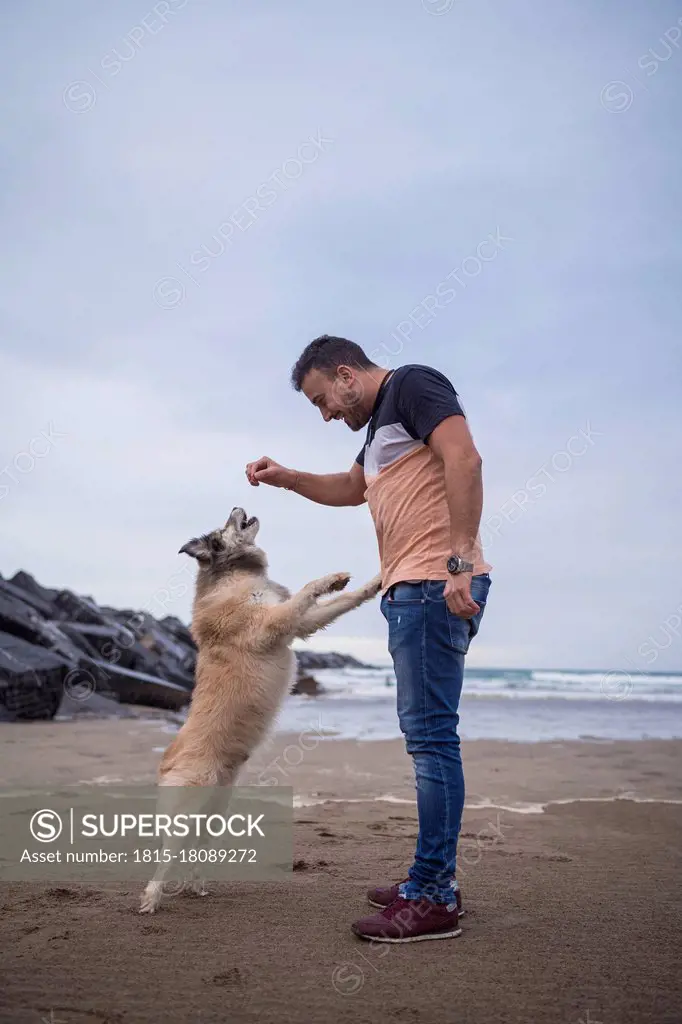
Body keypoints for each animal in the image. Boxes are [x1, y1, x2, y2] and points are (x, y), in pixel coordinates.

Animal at [139, 503, 382, 913]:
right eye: (225, 523)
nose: (237, 505)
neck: (232, 573)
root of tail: (165, 761)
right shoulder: (274, 622)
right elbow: (307, 590)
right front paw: (331, 579)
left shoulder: (300, 622)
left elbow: (340, 602)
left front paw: (370, 582)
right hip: (189, 805)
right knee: (167, 856)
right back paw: (151, 898)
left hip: (214, 810)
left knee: (193, 852)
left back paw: (194, 886)